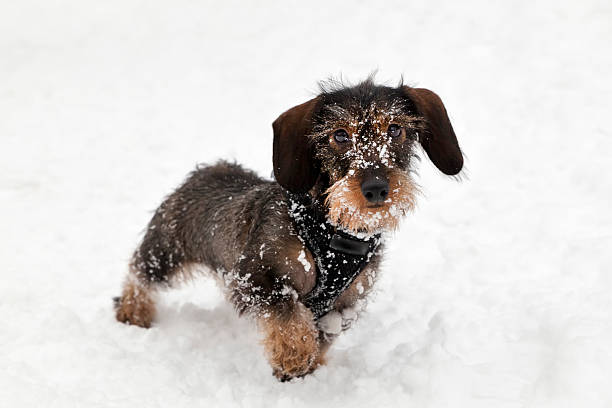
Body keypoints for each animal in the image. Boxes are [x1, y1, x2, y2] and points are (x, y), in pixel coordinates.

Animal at [113, 78, 464, 380]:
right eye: (340, 135)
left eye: (395, 129)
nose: (376, 188)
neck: (335, 234)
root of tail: (210, 169)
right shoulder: (258, 276)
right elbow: (288, 315)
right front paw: (293, 358)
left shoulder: (349, 301)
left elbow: (324, 331)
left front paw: (311, 364)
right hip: (165, 249)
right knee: (138, 273)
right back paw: (133, 311)